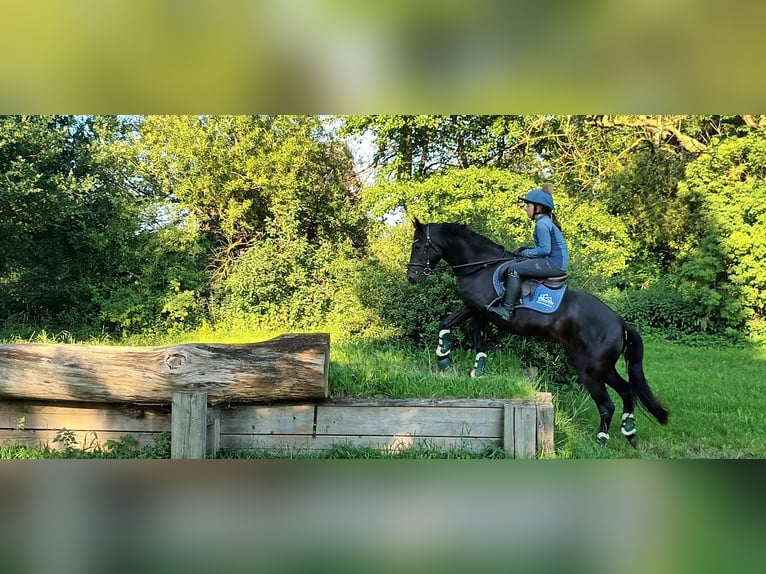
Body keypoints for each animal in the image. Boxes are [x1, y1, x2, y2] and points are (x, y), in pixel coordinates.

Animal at [404, 220, 668, 450]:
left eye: (418, 246)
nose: (412, 277)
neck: (480, 265)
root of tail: (620, 323)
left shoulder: (475, 307)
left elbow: (449, 323)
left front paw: (443, 358)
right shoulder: (479, 312)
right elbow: (474, 338)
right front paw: (473, 371)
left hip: (590, 370)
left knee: (607, 405)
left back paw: (601, 440)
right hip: (604, 368)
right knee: (626, 391)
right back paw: (630, 432)